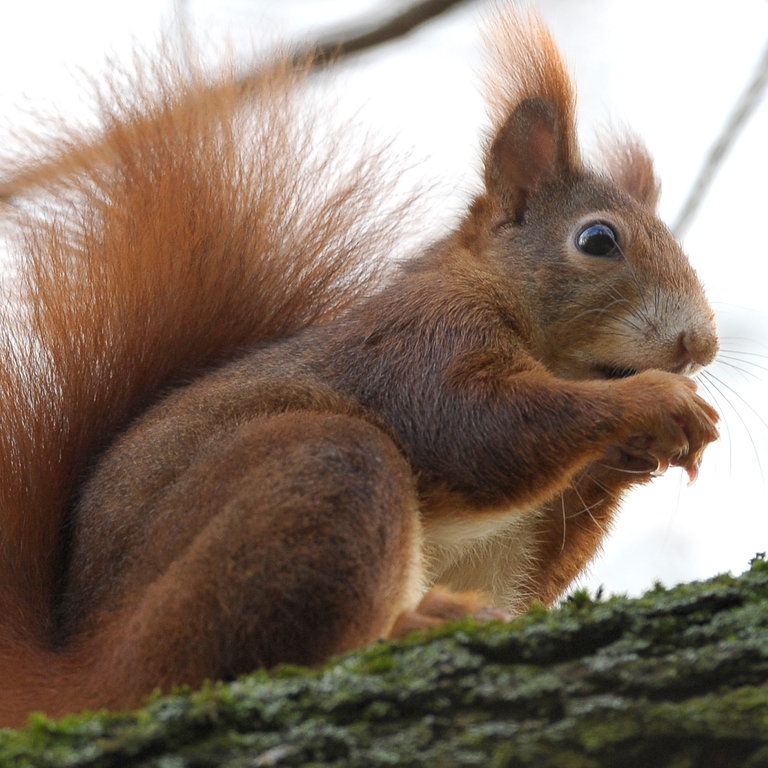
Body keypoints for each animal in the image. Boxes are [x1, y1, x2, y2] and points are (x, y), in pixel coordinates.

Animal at [0, 9, 720, 724]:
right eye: (598, 240)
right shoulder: (420, 342)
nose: (700, 345)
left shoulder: (507, 537)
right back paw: (413, 623)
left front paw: (636, 453)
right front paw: (655, 400)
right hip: (313, 489)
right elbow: (478, 427)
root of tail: (84, 665)